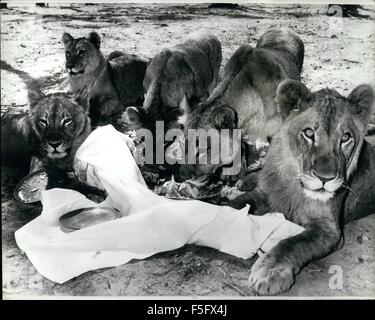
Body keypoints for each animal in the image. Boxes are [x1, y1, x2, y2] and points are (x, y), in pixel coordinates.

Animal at [229, 79, 375, 296]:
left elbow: (292, 243)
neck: (294, 186)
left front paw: (269, 272)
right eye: (309, 133)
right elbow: (234, 204)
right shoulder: (264, 193)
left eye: (345, 138)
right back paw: (246, 179)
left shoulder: (330, 231)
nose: (325, 178)